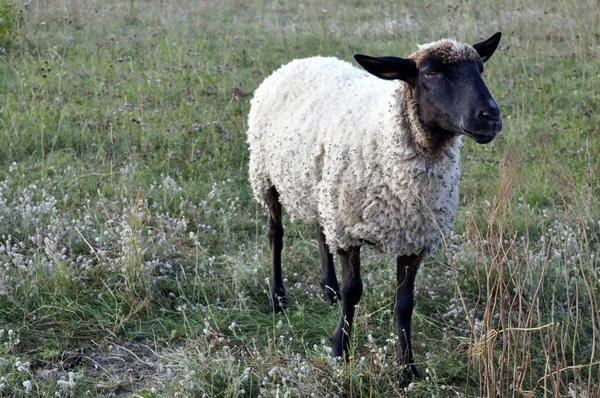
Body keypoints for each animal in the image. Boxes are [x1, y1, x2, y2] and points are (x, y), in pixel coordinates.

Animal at [245, 32, 502, 380]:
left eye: (480, 70)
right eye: (430, 73)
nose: (491, 117)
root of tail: (301, 60)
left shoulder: (414, 236)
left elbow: (404, 302)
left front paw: (406, 368)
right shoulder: (348, 230)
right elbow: (354, 292)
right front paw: (340, 350)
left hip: (321, 187)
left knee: (320, 232)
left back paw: (328, 290)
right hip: (266, 176)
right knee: (276, 235)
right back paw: (278, 298)